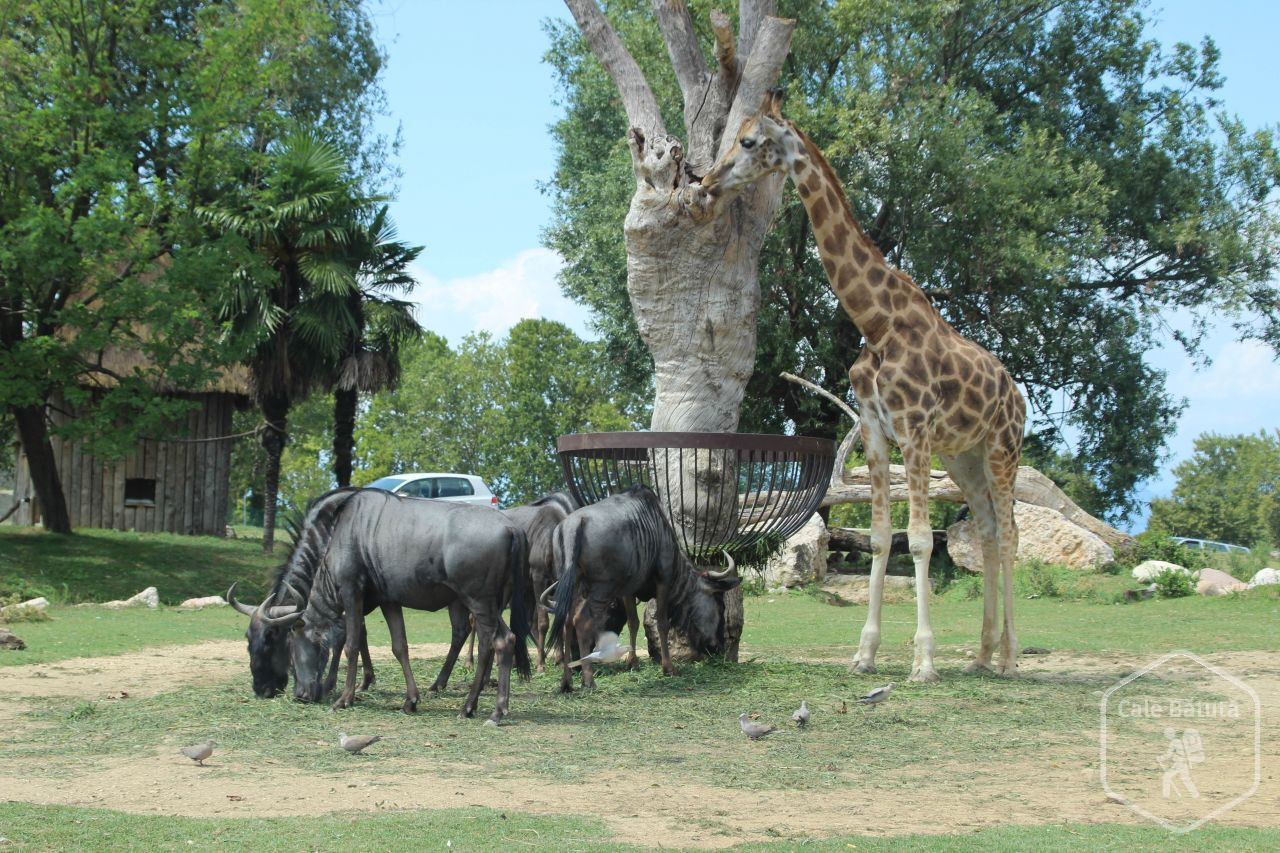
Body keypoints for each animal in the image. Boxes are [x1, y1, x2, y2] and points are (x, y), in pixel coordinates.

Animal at [706, 91, 1024, 676]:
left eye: (748, 140)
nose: (710, 182)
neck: (876, 322)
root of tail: (1018, 397)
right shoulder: (877, 432)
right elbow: (879, 540)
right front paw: (865, 654)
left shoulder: (915, 428)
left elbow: (918, 541)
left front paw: (923, 662)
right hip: (962, 457)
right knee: (989, 533)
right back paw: (982, 656)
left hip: (1001, 447)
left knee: (1010, 534)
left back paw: (1010, 660)